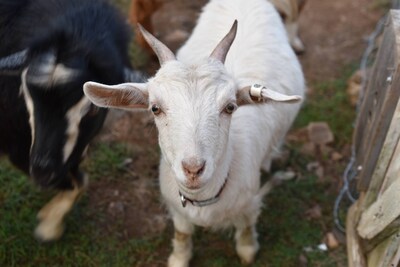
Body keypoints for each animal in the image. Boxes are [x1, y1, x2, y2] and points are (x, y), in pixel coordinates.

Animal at [0, 0, 143, 243]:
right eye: (24, 94)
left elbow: (79, 180)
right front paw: (49, 227)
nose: (43, 171)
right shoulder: (16, 144)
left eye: (94, 109)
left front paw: (49, 222)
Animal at [83, 0, 304, 266]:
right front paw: (178, 258)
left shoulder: (249, 203)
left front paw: (248, 251)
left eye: (230, 107)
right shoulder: (176, 208)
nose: (193, 169)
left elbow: (246, 229)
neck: (204, 199)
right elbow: (182, 233)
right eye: (155, 108)